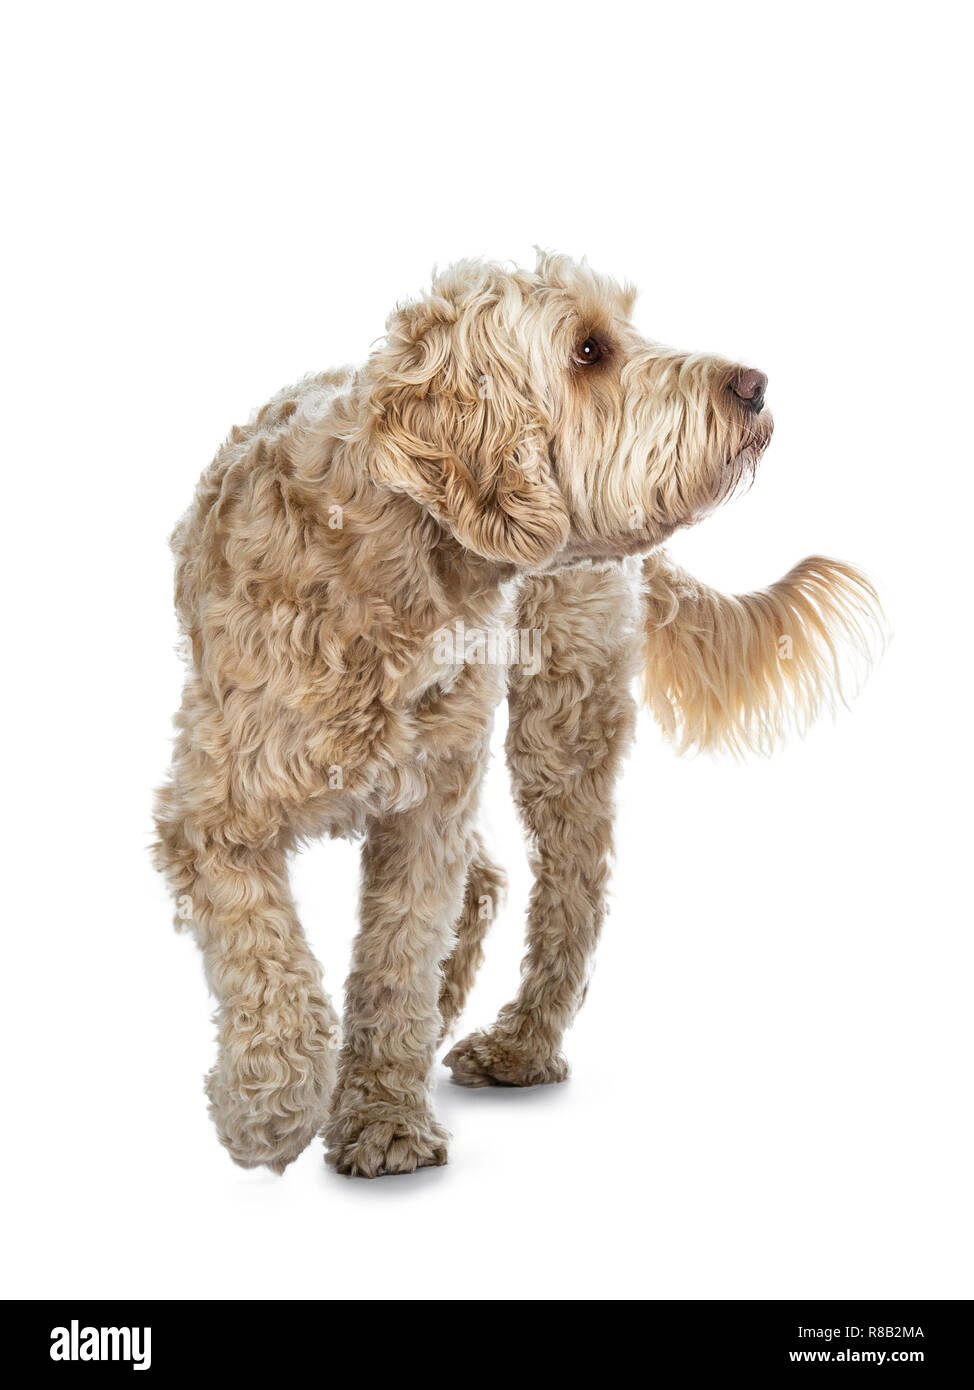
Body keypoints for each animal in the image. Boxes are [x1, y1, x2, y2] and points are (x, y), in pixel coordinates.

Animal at [153, 250, 883, 1173]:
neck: (388, 564)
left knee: (568, 892)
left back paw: (519, 1046)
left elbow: (396, 958)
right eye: (589, 350)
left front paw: (381, 1114)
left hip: (560, 726)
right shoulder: (216, 814)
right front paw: (271, 1109)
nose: (752, 384)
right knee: (491, 879)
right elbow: (265, 953)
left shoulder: (425, 810)